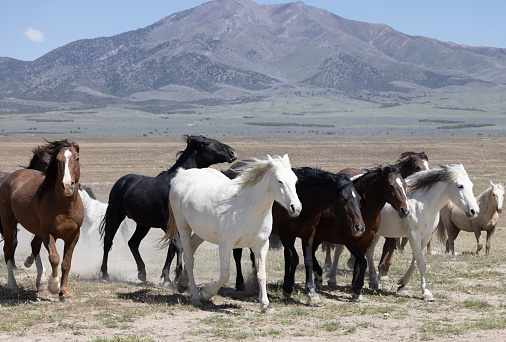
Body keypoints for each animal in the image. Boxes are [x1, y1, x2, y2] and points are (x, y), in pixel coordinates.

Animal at [0, 140, 83, 300]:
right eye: (58, 160)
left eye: (76, 159)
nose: (67, 186)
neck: (65, 207)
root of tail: (11, 177)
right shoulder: (48, 234)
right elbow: (54, 258)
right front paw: (53, 286)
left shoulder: (74, 235)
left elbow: (66, 263)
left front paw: (64, 292)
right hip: (8, 223)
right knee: (8, 249)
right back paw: (13, 286)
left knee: (34, 246)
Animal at [99, 136, 237, 284]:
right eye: (207, 143)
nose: (233, 153)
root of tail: (122, 181)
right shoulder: (167, 224)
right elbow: (178, 247)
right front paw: (177, 275)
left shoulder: (177, 225)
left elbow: (172, 249)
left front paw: (167, 278)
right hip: (115, 215)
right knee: (108, 241)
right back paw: (105, 275)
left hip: (143, 224)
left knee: (133, 243)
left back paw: (142, 274)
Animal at [164, 155, 302, 312]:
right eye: (280, 181)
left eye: (295, 180)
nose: (296, 208)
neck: (247, 208)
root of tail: (181, 174)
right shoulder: (225, 245)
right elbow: (225, 275)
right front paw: (205, 294)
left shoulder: (261, 245)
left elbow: (261, 274)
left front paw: (265, 305)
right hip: (183, 226)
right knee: (189, 258)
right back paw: (194, 296)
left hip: (201, 232)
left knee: (192, 250)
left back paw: (182, 284)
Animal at [310, 166, 410, 300]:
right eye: (390, 185)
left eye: (404, 184)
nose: (405, 210)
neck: (362, 208)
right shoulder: (350, 241)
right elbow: (362, 262)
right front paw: (357, 288)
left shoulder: (367, 239)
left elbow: (360, 263)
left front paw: (355, 290)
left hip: (318, 236)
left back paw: (318, 278)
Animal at [364, 164, 478, 300]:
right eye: (460, 186)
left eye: (471, 185)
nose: (474, 211)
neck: (424, 204)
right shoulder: (414, 236)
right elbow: (421, 264)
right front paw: (426, 292)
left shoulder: (425, 236)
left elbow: (415, 262)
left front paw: (402, 284)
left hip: (376, 234)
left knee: (369, 253)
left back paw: (373, 282)